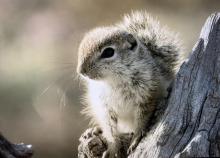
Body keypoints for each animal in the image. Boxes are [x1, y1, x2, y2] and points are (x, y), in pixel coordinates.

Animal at [77, 10, 182, 157]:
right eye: (81, 48)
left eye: (108, 52)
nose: (81, 70)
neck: (113, 80)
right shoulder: (104, 105)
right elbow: (110, 129)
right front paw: (113, 147)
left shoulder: (148, 94)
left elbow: (142, 119)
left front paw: (136, 139)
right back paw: (94, 130)